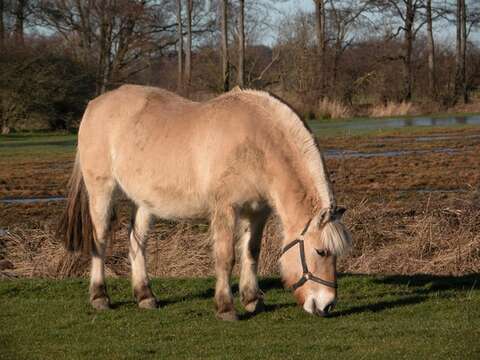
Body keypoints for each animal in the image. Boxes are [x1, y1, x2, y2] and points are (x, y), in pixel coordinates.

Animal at [57, 85, 352, 320]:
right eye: (320, 252)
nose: (326, 305)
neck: (255, 142)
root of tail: (95, 104)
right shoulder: (225, 209)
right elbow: (226, 257)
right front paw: (226, 308)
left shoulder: (257, 212)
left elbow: (251, 253)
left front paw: (252, 300)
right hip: (101, 190)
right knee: (100, 240)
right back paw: (100, 297)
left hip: (142, 202)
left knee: (136, 242)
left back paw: (145, 296)